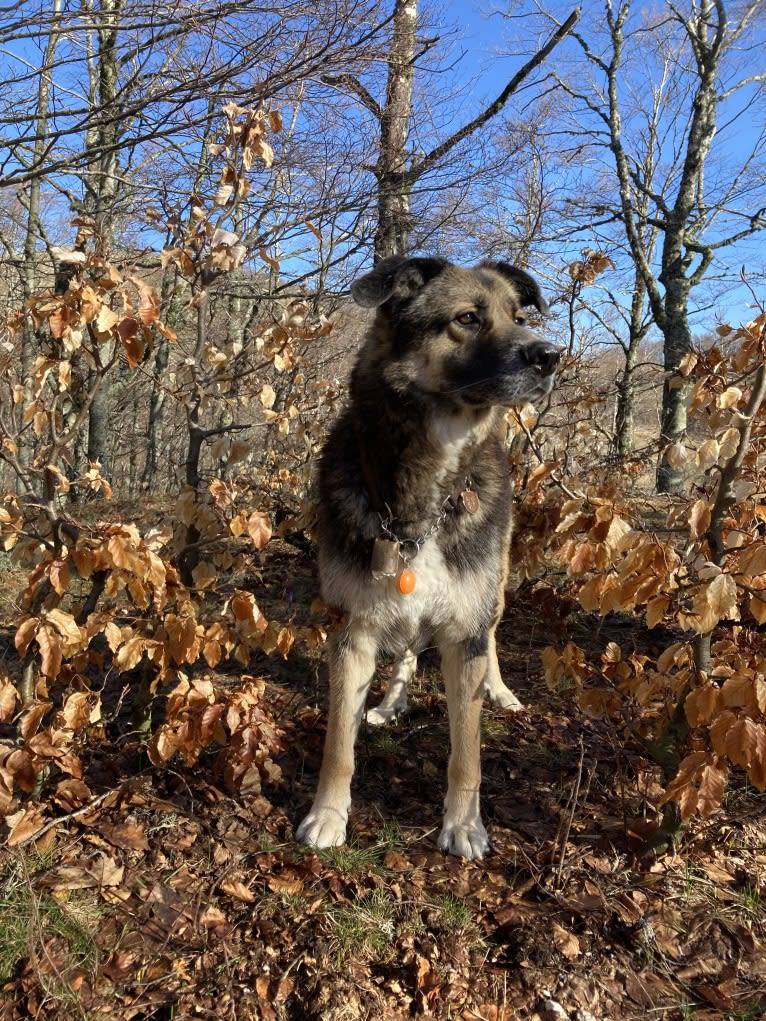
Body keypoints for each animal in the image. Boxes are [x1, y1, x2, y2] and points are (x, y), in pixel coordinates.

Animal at [296, 257, 559, 861]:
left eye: (518, 317)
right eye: (467, 319)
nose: (550, 355)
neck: (425, 500)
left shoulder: (464, 632)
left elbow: (467, 754)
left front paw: (463, 825)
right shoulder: (352, 630)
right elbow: (337, 748)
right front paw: (328, 815)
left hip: (494, 592)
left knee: (492, 638)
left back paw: (500, 690)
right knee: (409, 653)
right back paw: (393, 700)